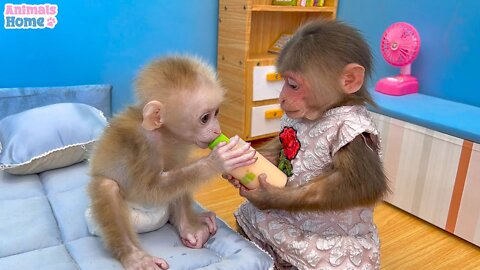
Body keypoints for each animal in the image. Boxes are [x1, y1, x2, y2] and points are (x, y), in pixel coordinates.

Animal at [86, 55, 255, 270]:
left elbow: (176, 176)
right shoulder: (142, 147)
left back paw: (188, 227)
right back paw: (134, 256)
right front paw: (217, 161)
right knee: (107, 186)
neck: (164, 133)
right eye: (205, 118)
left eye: (216, 113)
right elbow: (148, 188)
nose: (217, 130)